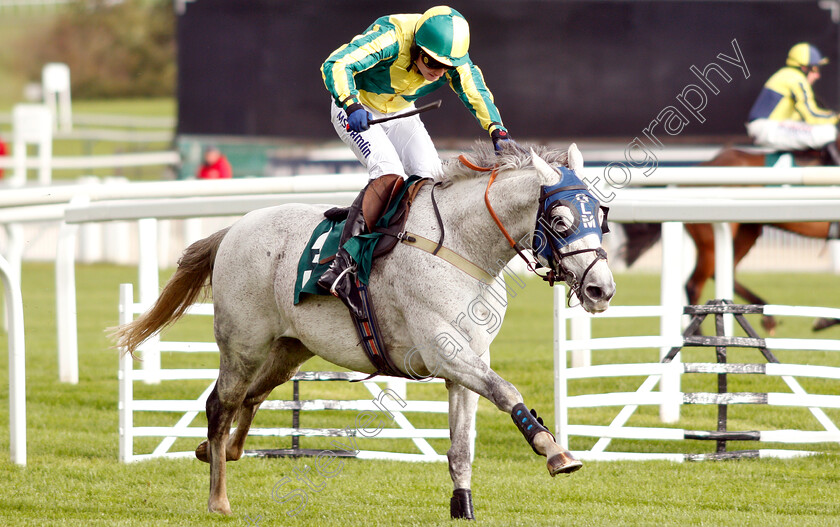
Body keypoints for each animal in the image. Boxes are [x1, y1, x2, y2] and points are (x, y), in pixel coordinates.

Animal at [111, 143, 612, 520]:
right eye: (561, 220)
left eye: (602, 216)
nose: (600, 289)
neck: (460, 246)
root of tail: (234, 228)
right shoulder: (445, 351)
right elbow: (507, 392)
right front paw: (555, 451)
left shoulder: (468, 362)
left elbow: (461, 447)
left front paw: (463, 506)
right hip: (243, 345)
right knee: (222, 404)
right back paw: (218, 499)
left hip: (289, 350)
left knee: (251, 397)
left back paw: (217, 452)